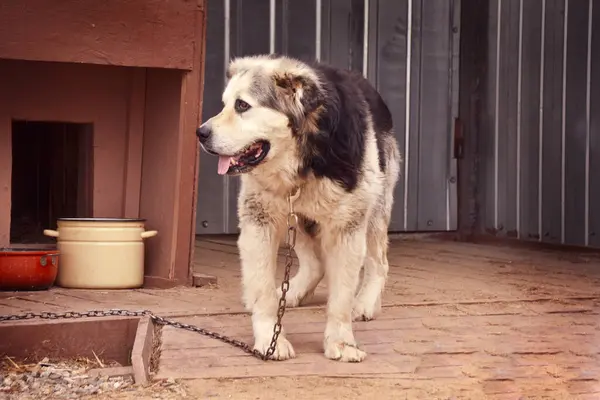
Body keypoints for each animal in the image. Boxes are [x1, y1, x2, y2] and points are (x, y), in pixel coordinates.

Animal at [197, 54, 400, 362]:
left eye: (242, 105)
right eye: (224, 104)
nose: (200, 133)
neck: (303, 160)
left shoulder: (347, 226)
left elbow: (341, 297)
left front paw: (341, 341)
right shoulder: (260, 219)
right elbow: (264, 290)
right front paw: (270, 339)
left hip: (374, 205)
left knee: (379, 262)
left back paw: (365, 303)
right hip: (298, 217)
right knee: (315, 264)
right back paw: (292, 292)